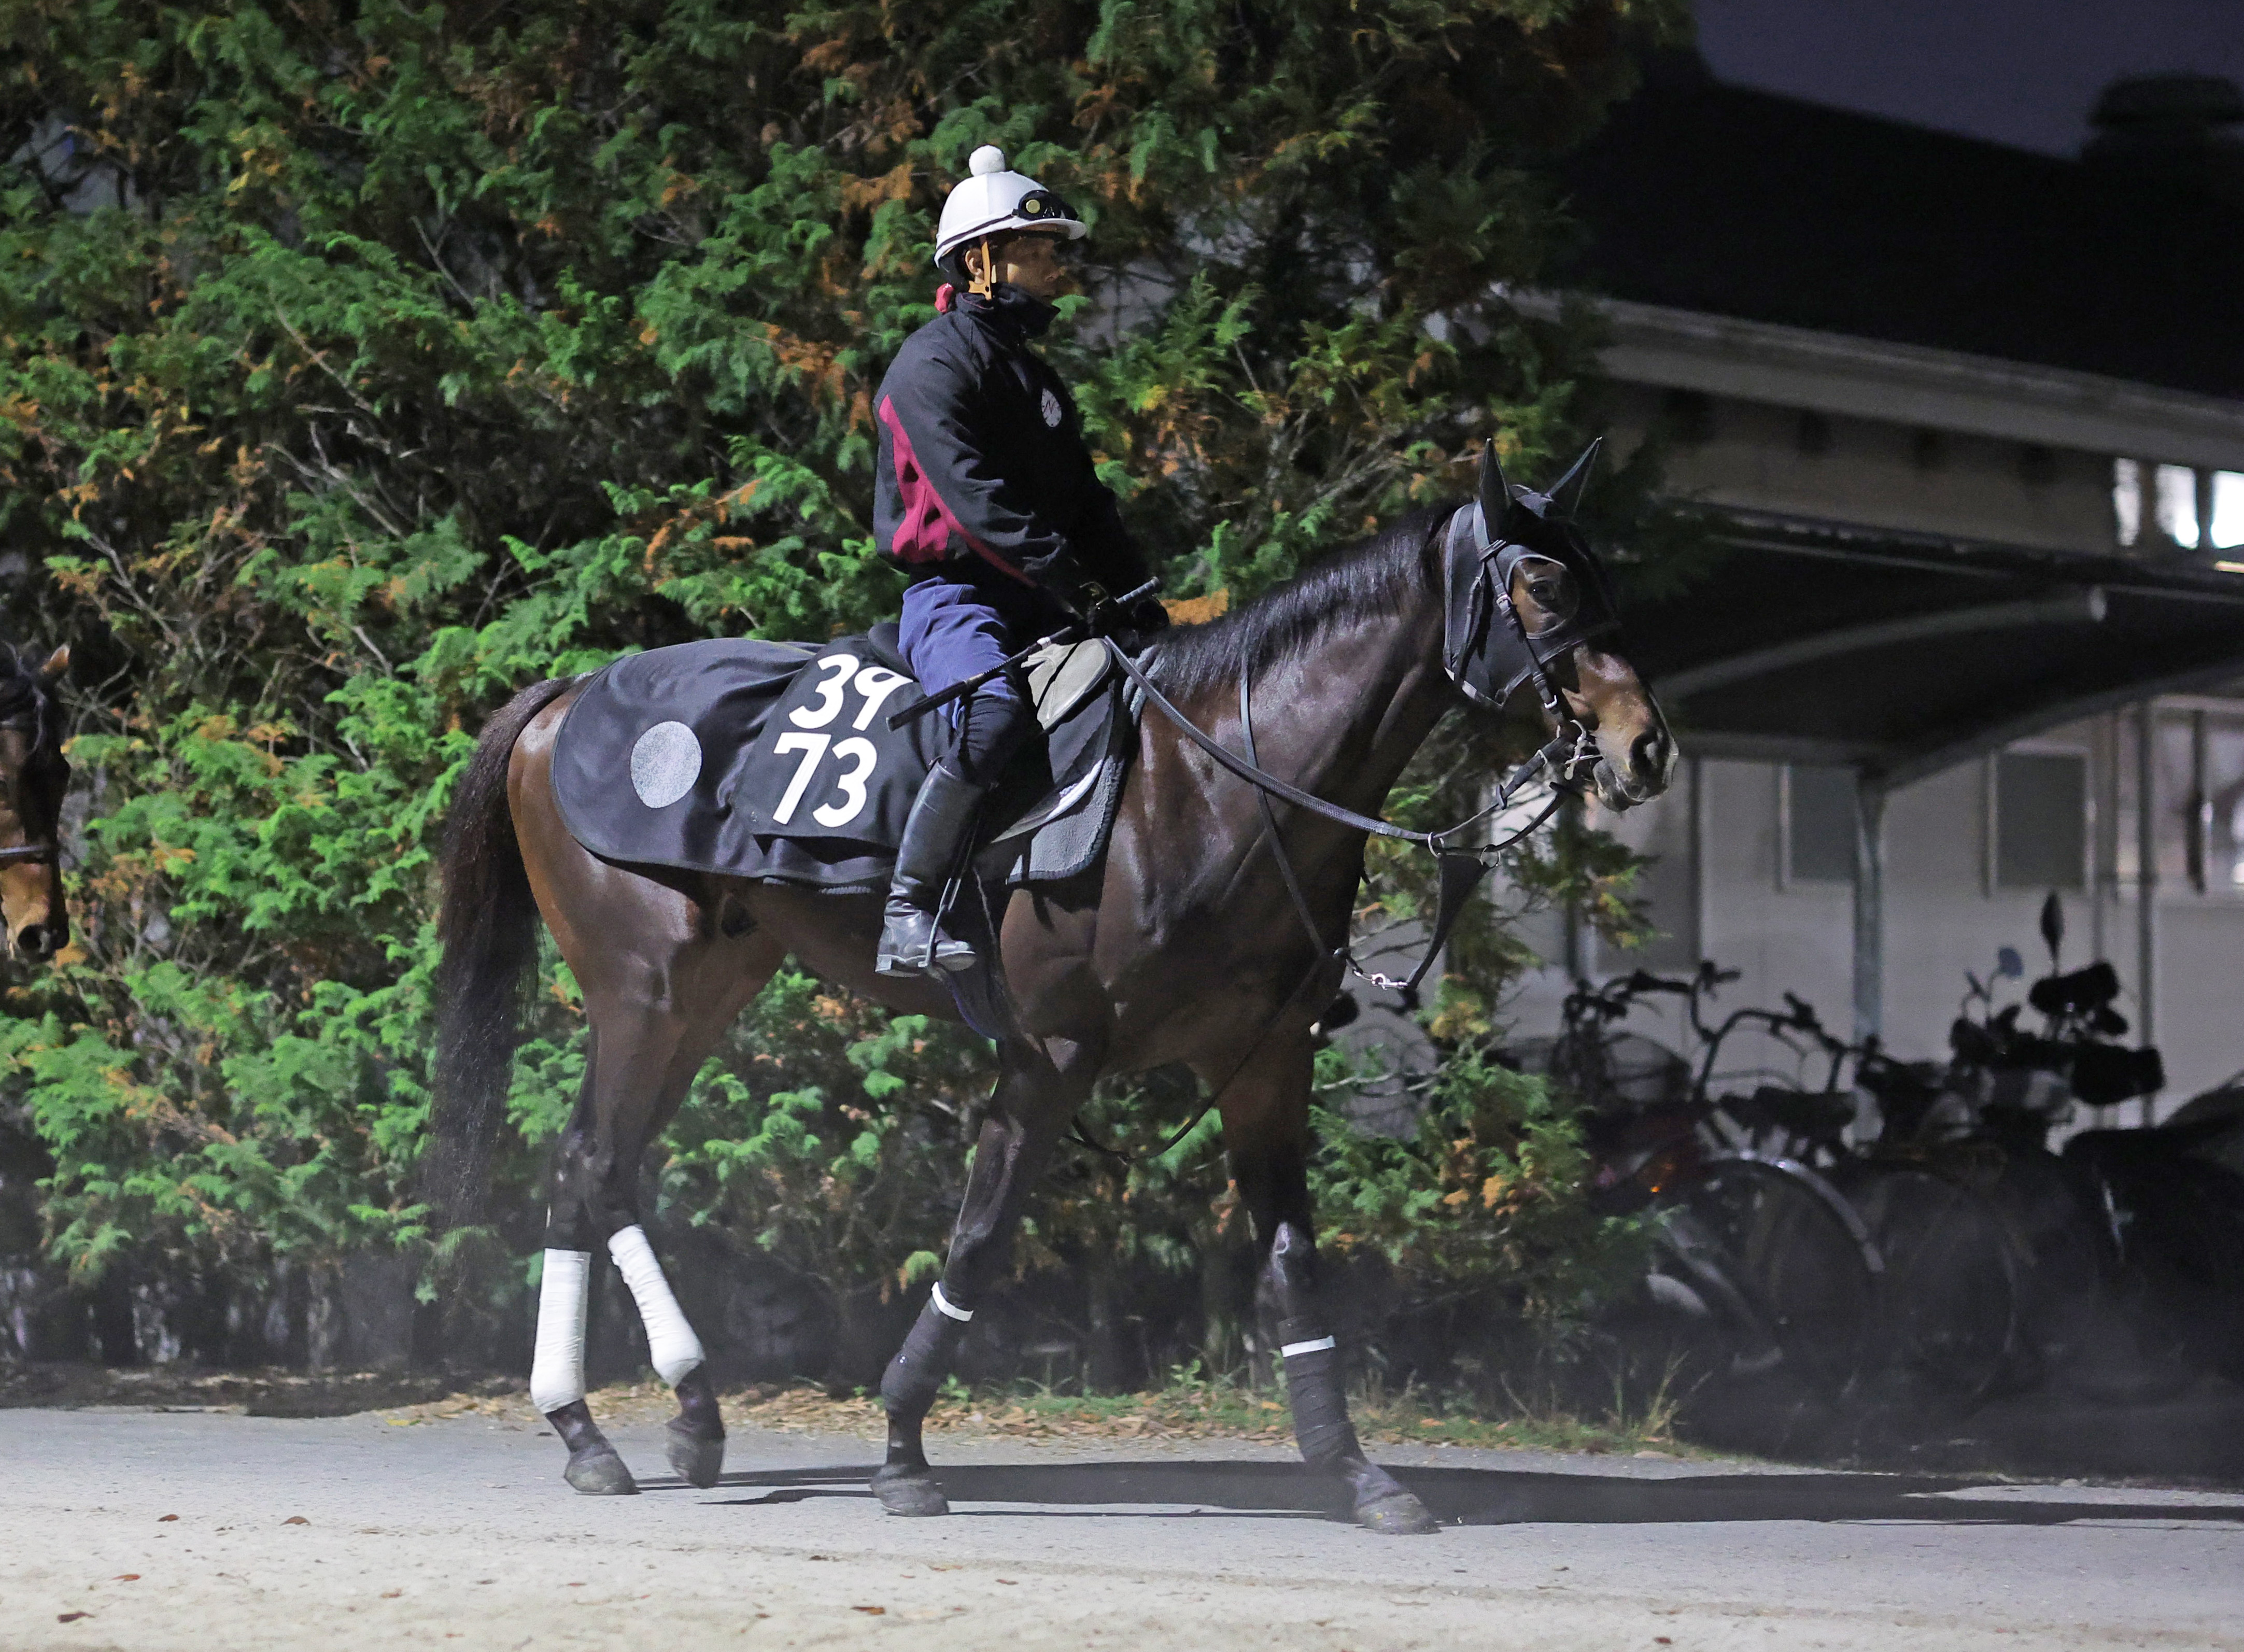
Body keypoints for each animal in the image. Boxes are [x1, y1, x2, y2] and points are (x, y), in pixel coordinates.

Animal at [428, 448, 1674, 1534]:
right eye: (1542, 584)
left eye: (1602, 578)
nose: (1645, 747)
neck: (1211, 787)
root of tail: (566, 697)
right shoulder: (1049, 1058)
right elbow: (977, 1243)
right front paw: (901, 1449)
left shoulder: (1264, 1064)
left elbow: (1289, 1269)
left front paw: (1358, 1473)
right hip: (643, 992)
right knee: (591, 1162)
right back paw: (606, 1425)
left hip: (703, 992)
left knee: (599, 1167)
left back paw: (661, 1417)